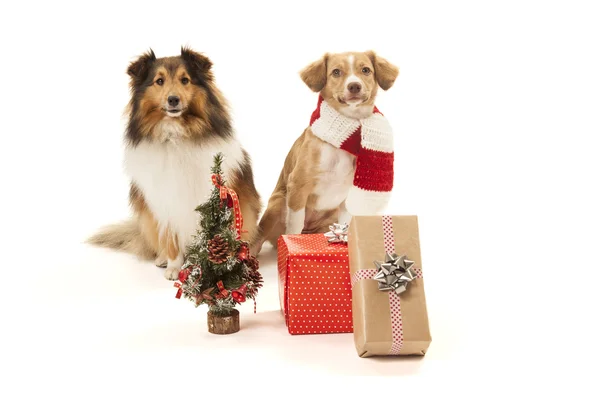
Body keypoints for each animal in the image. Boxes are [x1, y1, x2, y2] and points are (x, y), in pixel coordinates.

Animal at [88, 46, 262, 278]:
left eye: (185, 80)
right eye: (159, 81)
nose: (173, 100)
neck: (175, 134)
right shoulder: (165, 198)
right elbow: (171, 236)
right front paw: (173, 267)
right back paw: (162, 258)